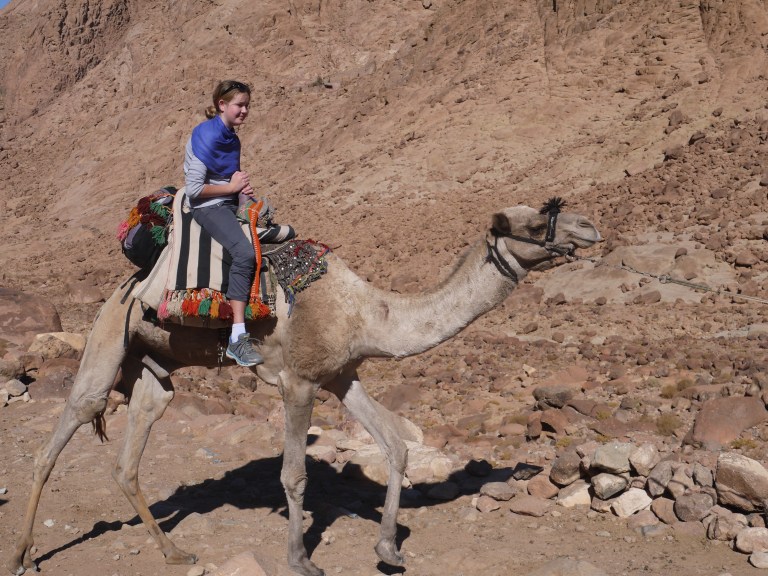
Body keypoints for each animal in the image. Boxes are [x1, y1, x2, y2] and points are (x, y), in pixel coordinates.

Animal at [7, 200, 600, 576]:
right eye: (535, 222)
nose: (590, 228)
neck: (369, 311)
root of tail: (129, 281)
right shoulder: (299, 381)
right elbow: (294, 475)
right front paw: (300, 558)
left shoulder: (341, 375)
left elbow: (395, 444)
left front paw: (389, 548)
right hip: (109, 336)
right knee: (60, 433)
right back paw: (21, 555)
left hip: (154, 370)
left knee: (129, 459)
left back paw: (174, 552)